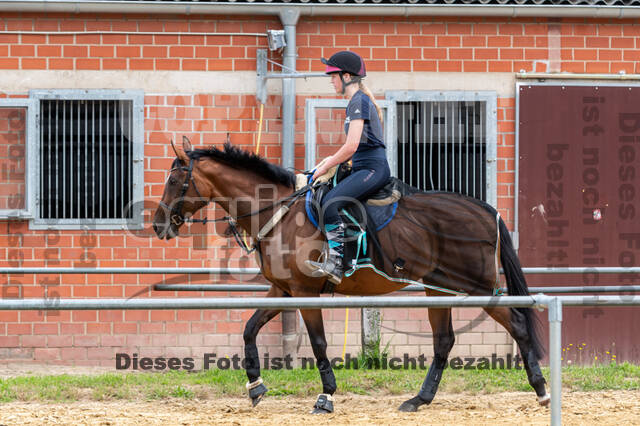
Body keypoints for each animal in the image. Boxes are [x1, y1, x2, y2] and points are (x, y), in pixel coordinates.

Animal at [152, 136, 548, 412]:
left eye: (174, 180)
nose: (158, 225)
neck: (280, 212)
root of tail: (486, 210)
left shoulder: (304, 293)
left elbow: (318, 343)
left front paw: (326, 396)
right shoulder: (283, 290)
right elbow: (249, 329)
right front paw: (256, 387)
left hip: (477, 287)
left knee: (517, 324)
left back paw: (542, 390)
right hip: (439, 288)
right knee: (443, 341)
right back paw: (419, 400)